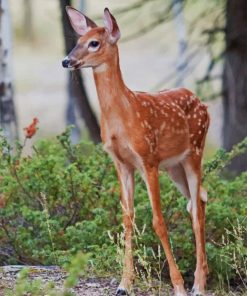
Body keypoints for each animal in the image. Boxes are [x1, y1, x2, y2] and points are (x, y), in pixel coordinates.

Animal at [62, 6, 209, 296]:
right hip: (174, 166)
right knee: (199, 200)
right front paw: (124, 284)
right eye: (77, 40)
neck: (123, 117)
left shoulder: (147, 159)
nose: (66, 61)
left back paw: (197, 285)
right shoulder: (121, 163)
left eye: (94, 43)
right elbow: (127, 219)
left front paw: (178, 285)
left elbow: (158, 221)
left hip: (195, 152)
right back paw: (204, 276)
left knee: (196, 210)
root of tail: (202, 103)